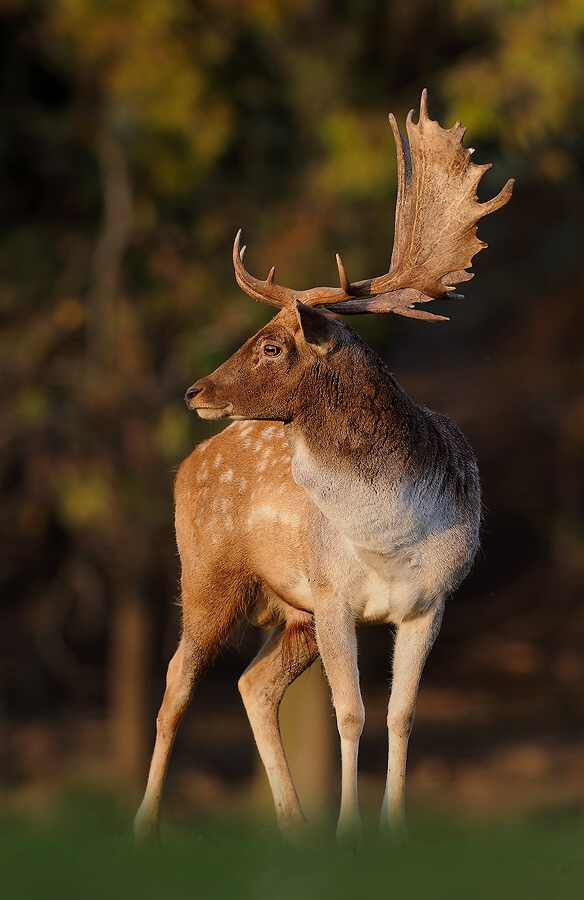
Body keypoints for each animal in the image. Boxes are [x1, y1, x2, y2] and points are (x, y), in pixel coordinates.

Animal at [134, 91, 513, 850]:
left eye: (272, 346)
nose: (194, 391)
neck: (392, 534)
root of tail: (187, 464)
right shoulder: (335, 595)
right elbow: (349, 712)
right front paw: (349, 830)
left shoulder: (431, 601)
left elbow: (400, 715)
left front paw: (391, 831)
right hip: (209, 574)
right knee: (176, 686)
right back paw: (144, 826)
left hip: (292, 614)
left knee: (252, 685)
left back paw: (293, 822)